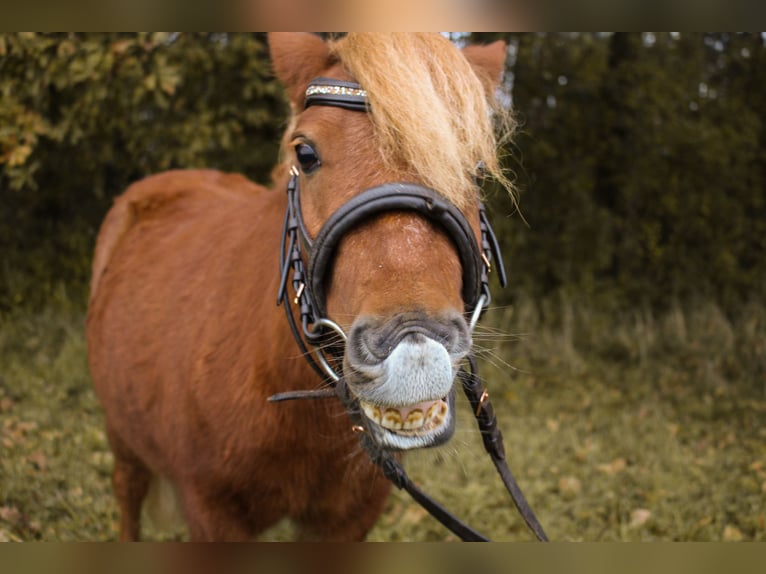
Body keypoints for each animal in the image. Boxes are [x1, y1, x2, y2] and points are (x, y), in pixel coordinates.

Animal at [87, 33, 512, 544]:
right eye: (304, 154)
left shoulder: (350, 518)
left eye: (474, 166)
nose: (413, 344)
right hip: (122, 436)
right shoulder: (212, 513)